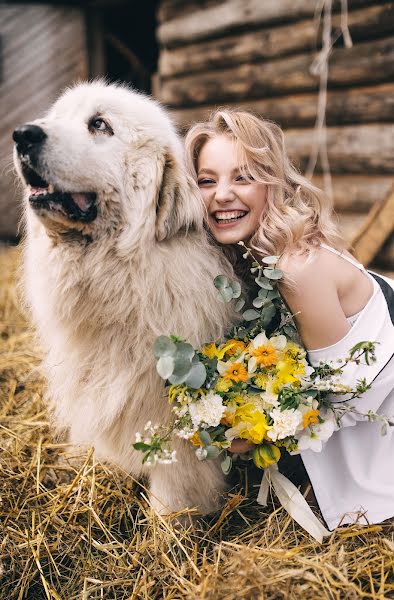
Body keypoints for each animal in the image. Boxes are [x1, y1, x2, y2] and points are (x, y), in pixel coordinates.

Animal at [13, 79, 237, 516]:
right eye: (56, 117)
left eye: (99, 125)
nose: (22, 134)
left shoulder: (175, 424)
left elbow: (172, 490)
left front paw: (166, 527)